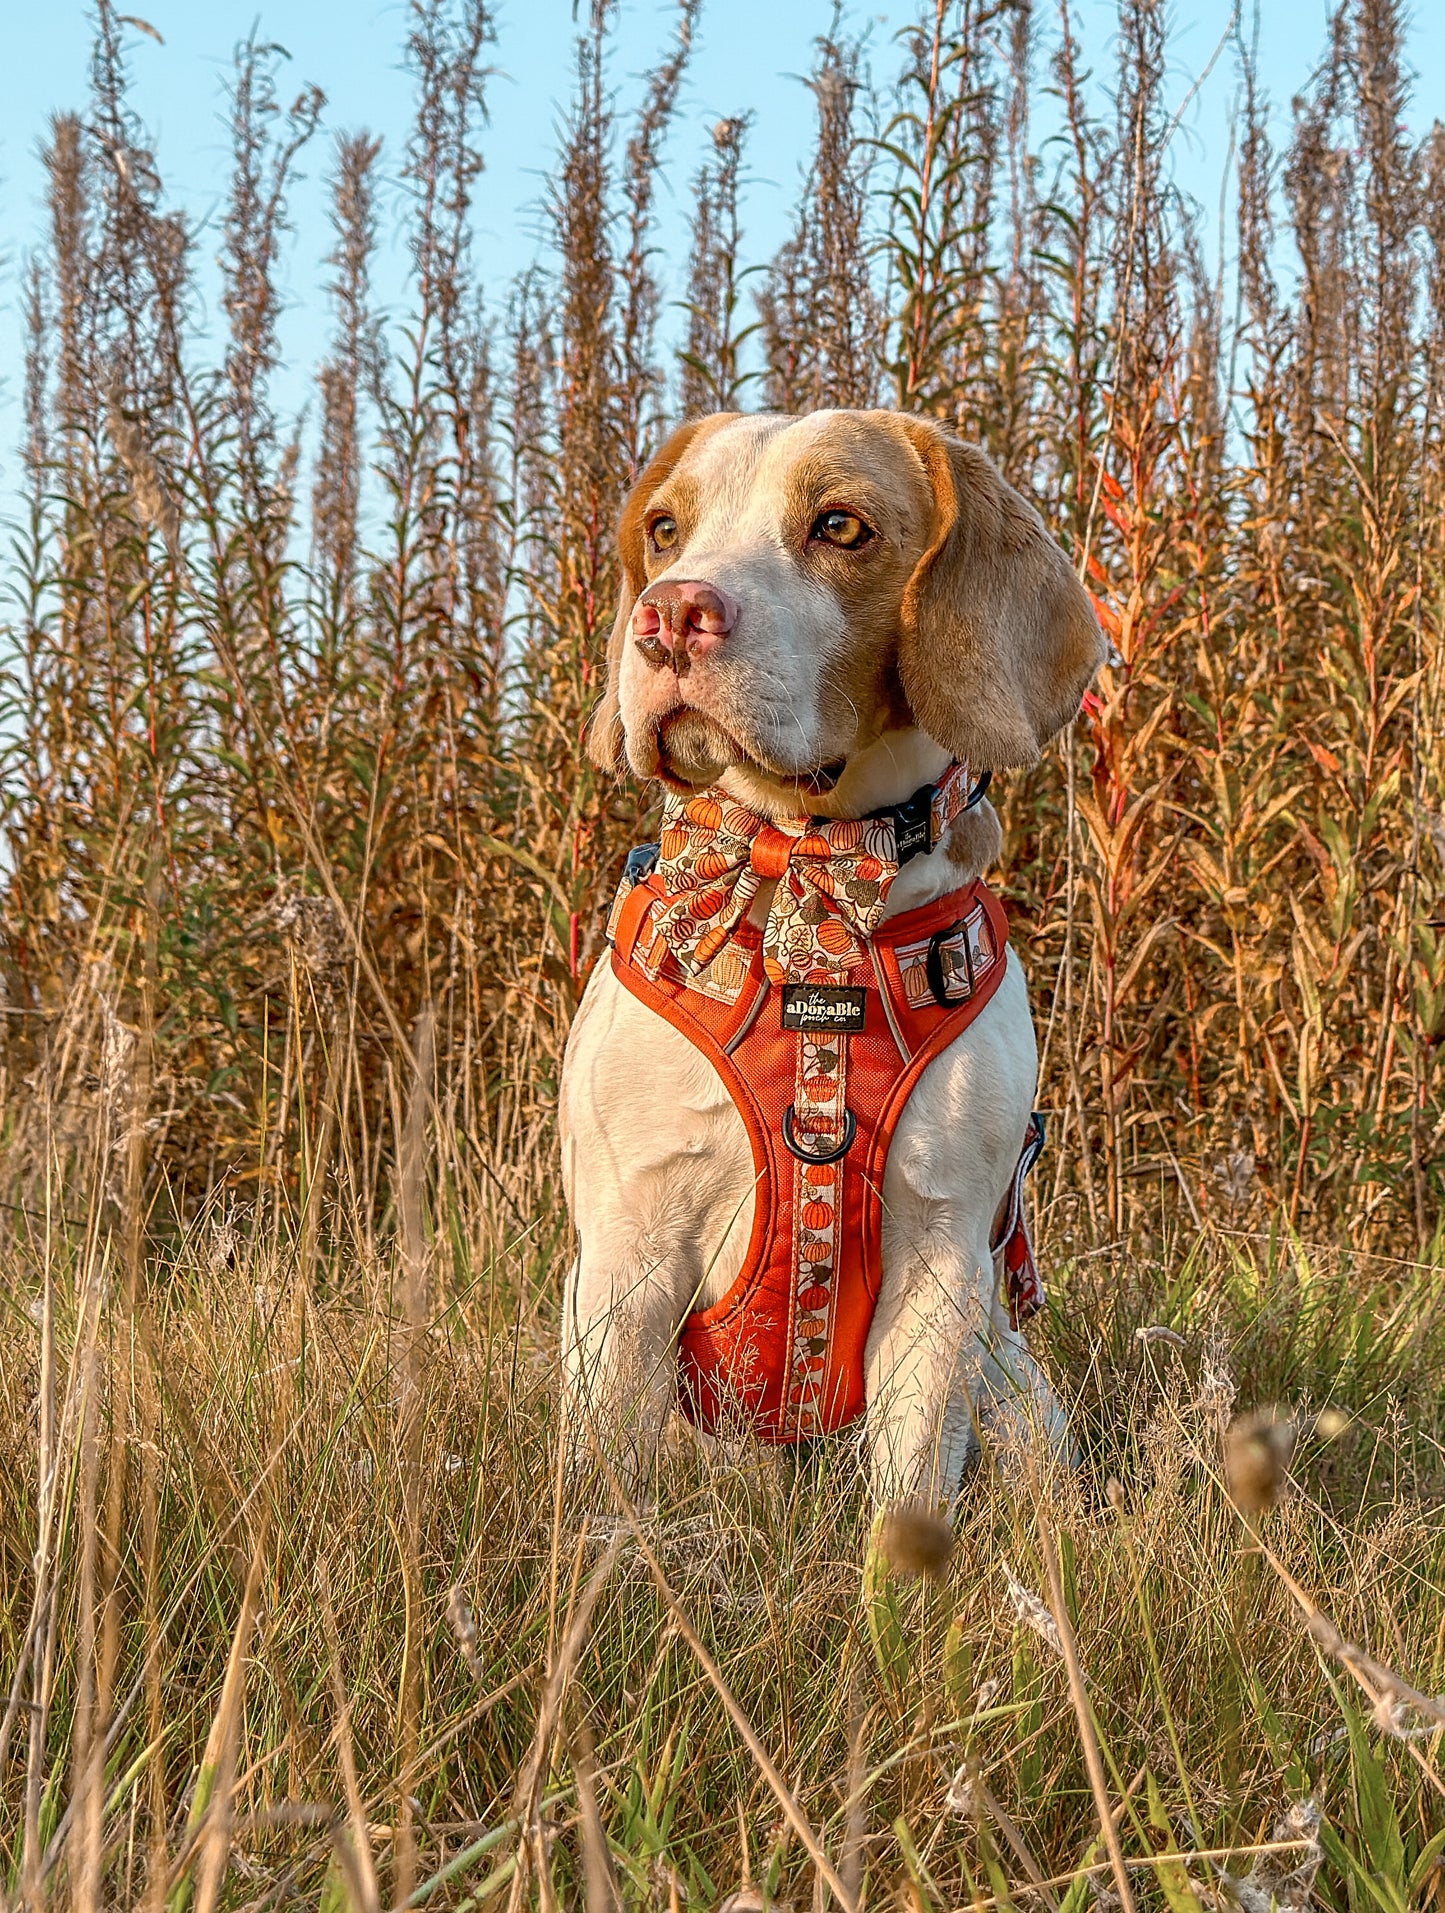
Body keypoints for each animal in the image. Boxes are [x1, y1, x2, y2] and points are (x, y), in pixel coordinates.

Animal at [558, 407, 1102, 1507]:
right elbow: (601, 1490)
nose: (669, 615)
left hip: (1011, 1382)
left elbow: (909, 1496)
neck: (801, 879)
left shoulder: (942, 1259)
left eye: (841, 526)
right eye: (665, 529)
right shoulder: (626, 1250)